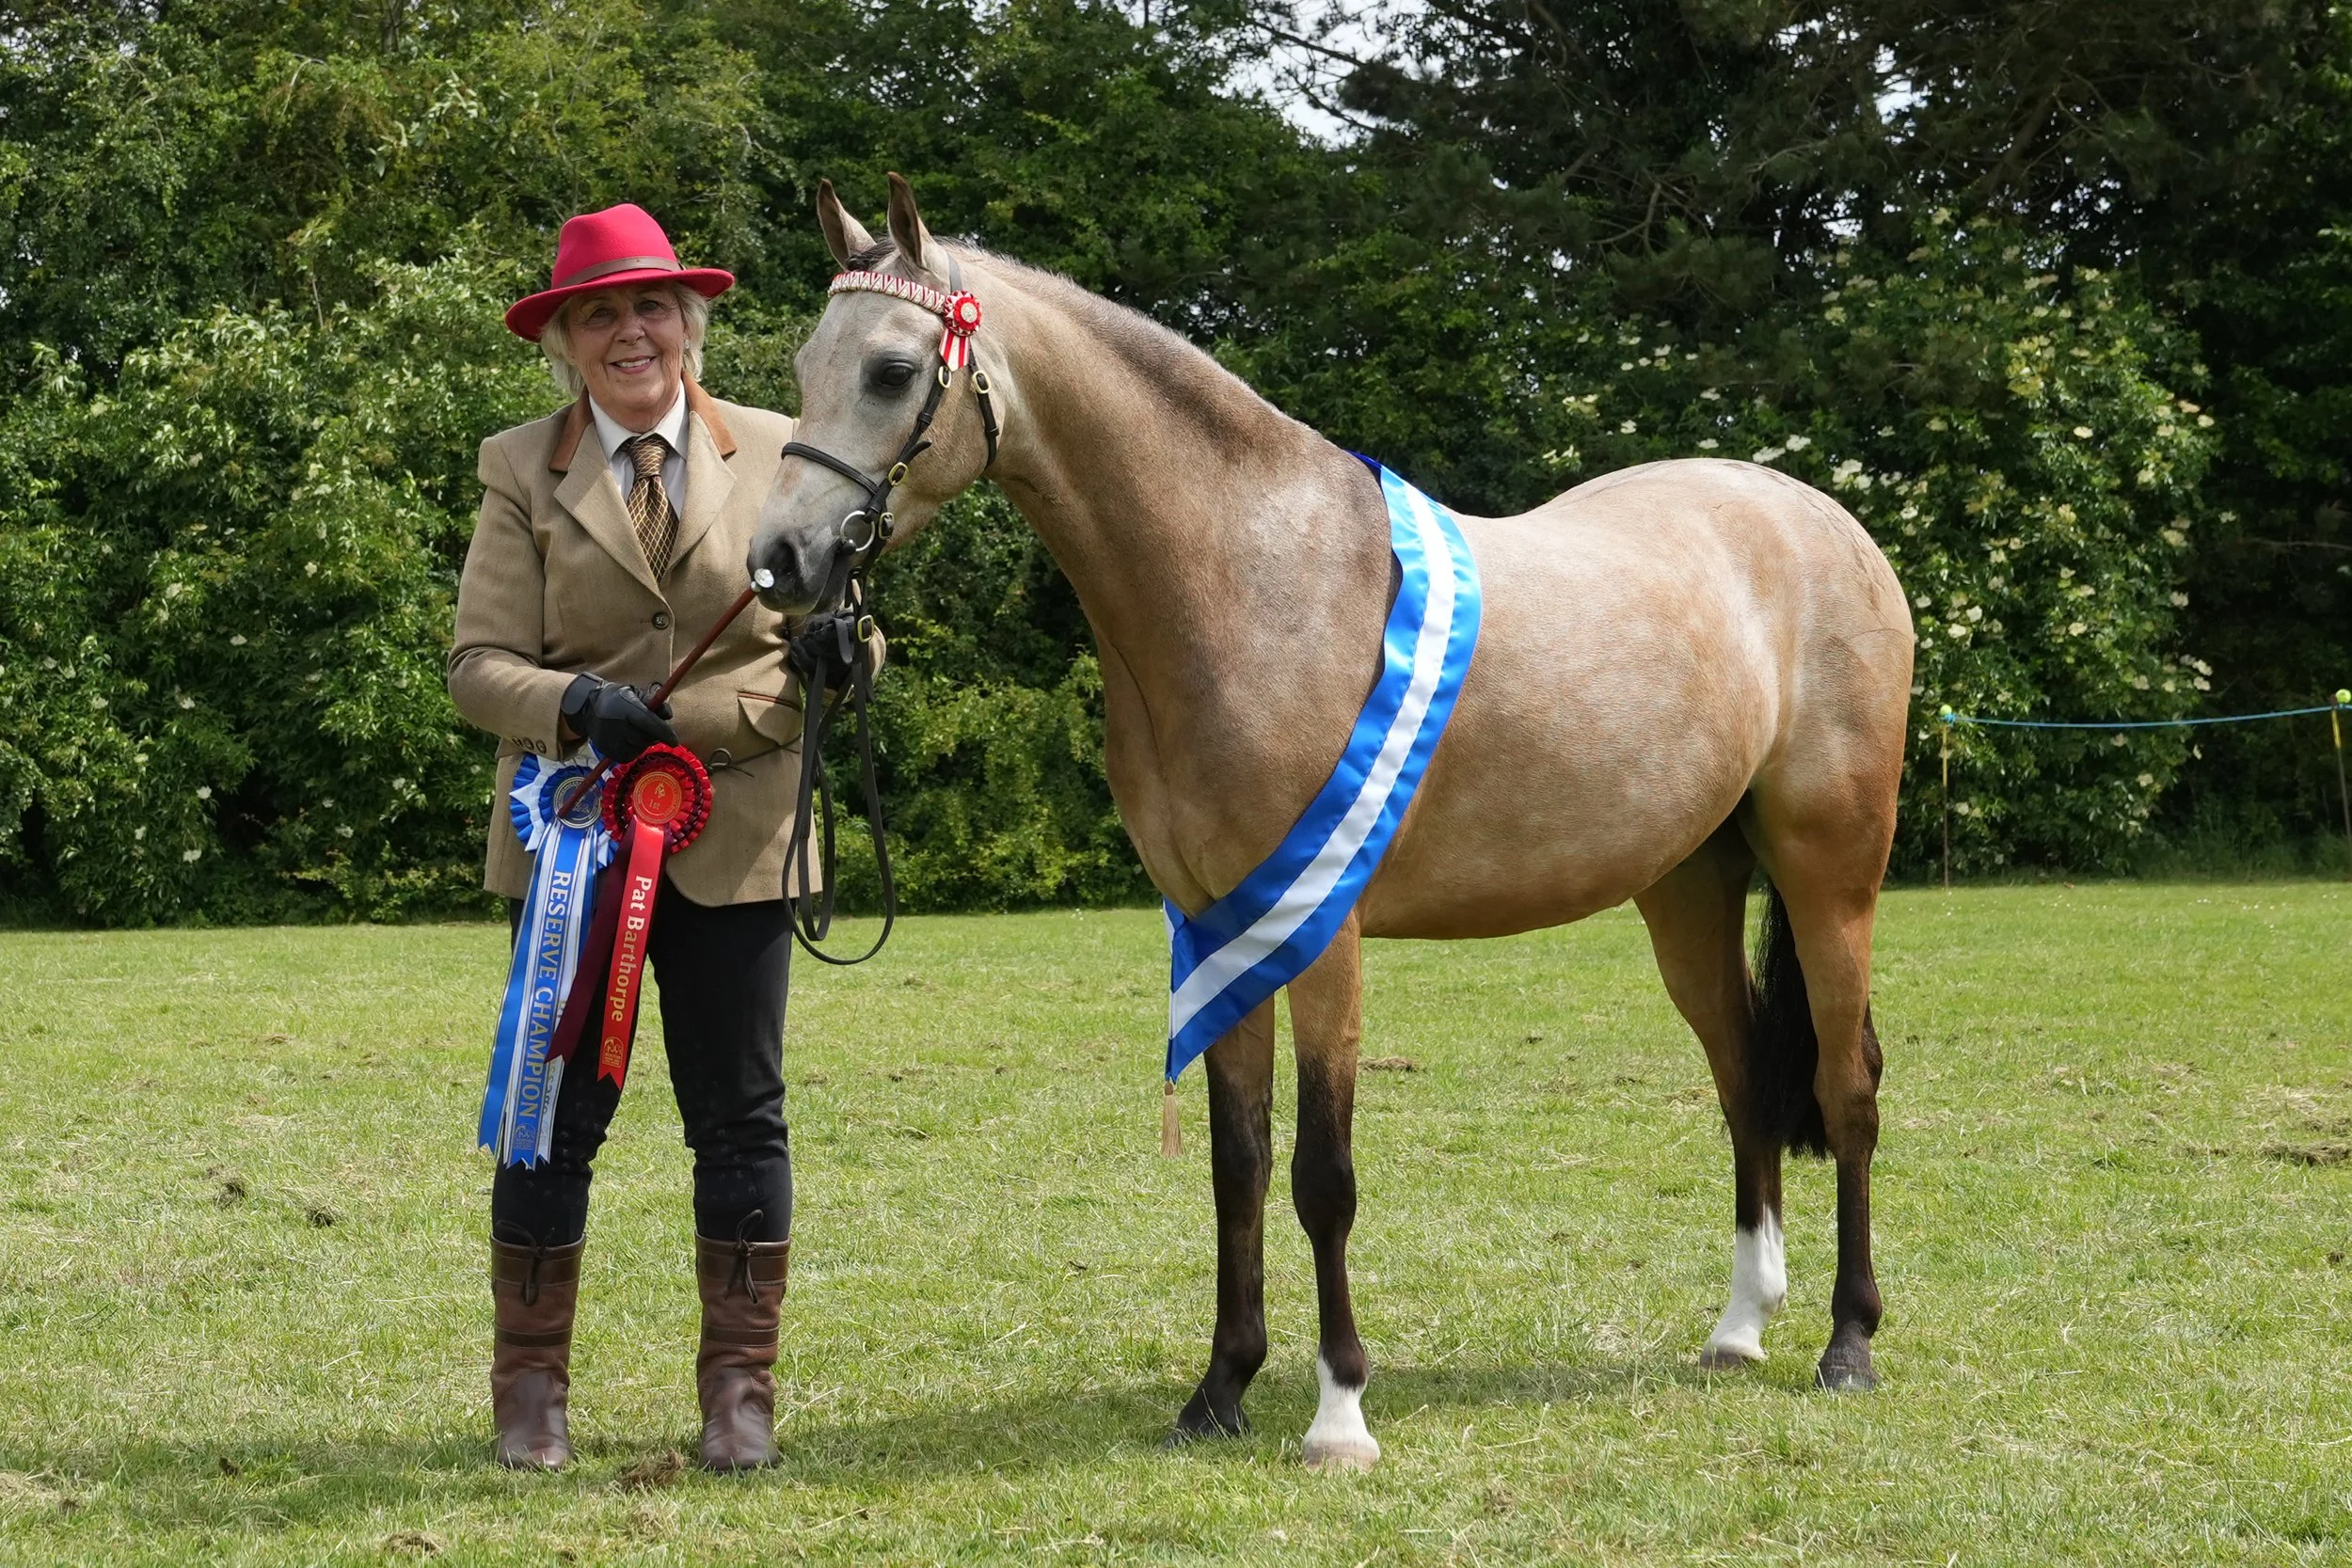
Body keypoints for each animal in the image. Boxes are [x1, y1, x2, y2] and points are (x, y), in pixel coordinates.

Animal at [750, 174, 1915, 1471]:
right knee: (1740, 1074)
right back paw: (1739, 1326)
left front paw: (1339, 1410)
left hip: (1829, 871)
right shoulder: (1217, 922)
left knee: (1847, 1083)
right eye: (806, 362)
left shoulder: (1326, 930)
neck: (1246, 583)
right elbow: (1239, 1162)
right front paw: (1217, 1390)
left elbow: (1323, 1172)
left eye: (894, 369)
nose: (780, 560)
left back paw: (1846, 1343)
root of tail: (1822, 519)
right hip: (1688, 886)